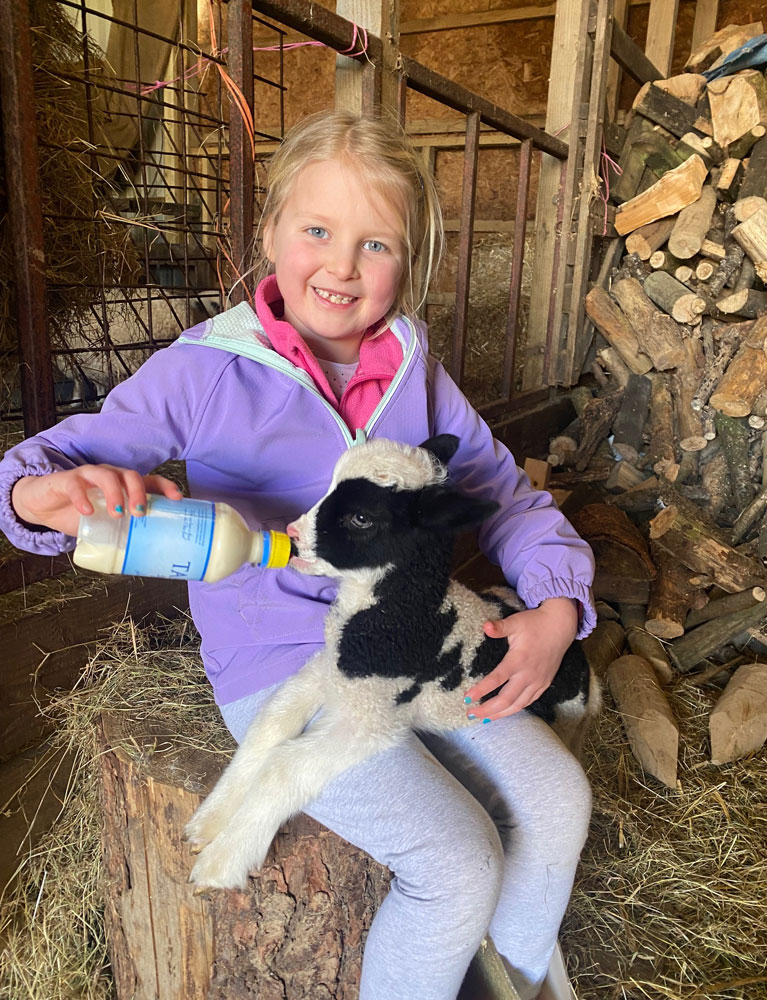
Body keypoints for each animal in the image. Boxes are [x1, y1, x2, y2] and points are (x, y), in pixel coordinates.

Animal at [184, 434, 600, 888]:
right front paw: (207, 825)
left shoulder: (371, 718)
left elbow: (285, 766)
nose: (292, 535)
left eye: (361, 518)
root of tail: (581, 665)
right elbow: (271, 724)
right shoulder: (331, 672)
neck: (407, 616)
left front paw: (221, 862)